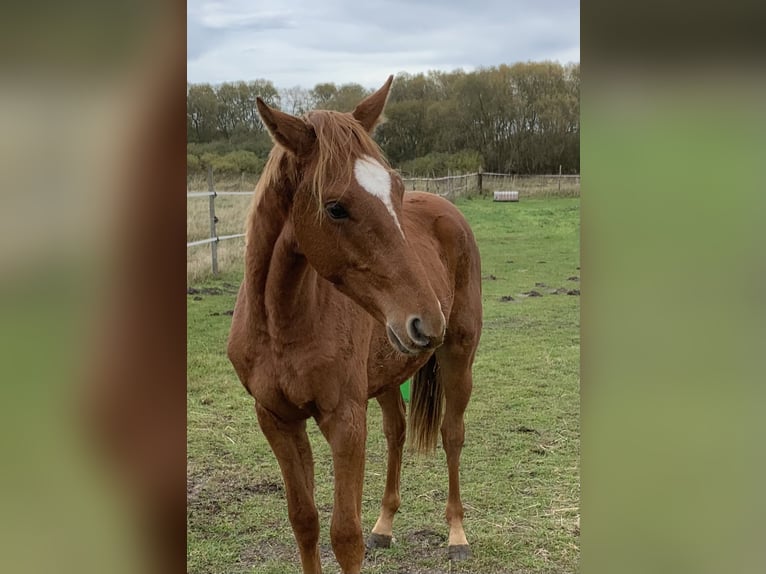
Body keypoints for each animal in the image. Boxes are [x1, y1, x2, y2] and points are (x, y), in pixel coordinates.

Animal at [227, 76, 482, 574]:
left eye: (397, 190)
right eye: (335, 208)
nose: (428, 319)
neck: (283, 324)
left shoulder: (345, 422)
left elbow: (345, 535)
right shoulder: (277, 420)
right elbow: (304, 521)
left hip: (459, 356)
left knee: (452, 434)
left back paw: (457, 534)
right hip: (386, 372)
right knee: (397, 430)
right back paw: (385, 525)